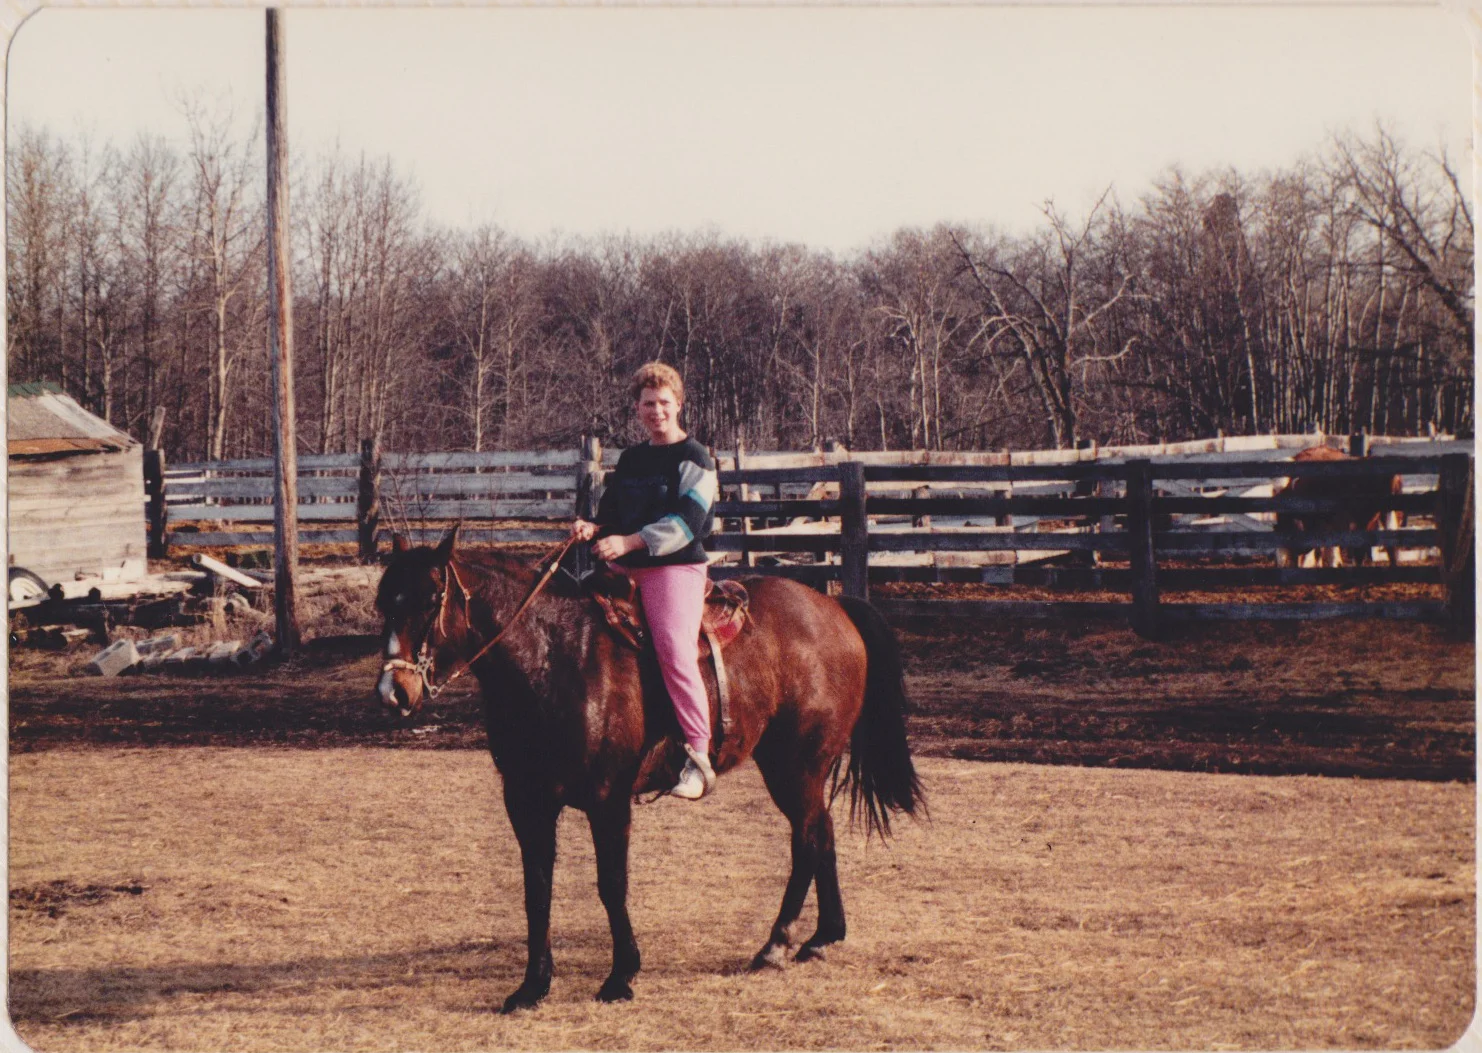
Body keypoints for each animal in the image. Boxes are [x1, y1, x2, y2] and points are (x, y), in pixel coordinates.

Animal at [373, 526, 924, 1012]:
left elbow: (611, 884)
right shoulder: (527, 803)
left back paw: (776, 944)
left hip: (796, 766)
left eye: (429, 600)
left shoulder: (608, 801)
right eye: (384, 603)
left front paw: (621, 976)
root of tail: (834, 608)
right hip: (799, 769)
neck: (553, 659)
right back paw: (823, 937)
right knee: (822, 832)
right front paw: (532, 987)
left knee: (807, 839)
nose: (393, 693)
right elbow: (537, 890)